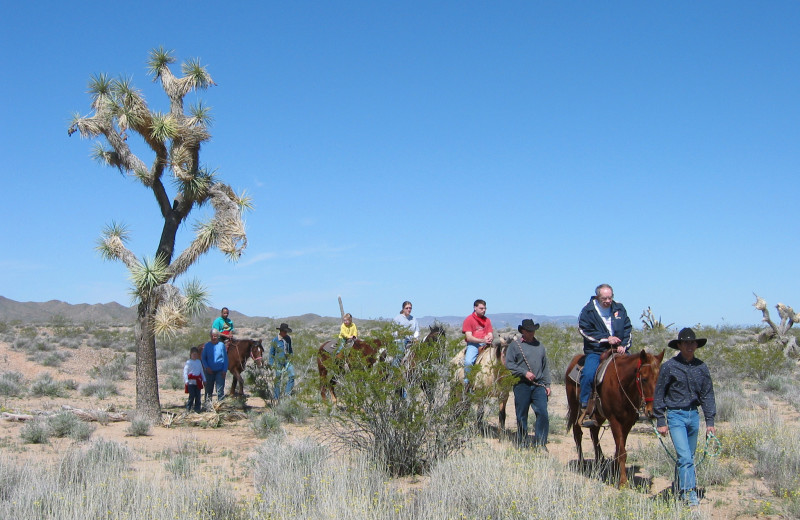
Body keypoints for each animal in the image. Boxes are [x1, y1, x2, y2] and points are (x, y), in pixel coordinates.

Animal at [564, 350, 664, 488]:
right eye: (644, 379)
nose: (652, 412)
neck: (621, 385)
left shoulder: (628, 422)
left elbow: (620, 448)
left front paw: (615, 471)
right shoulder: (614, 420)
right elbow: (621, 451)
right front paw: (623, 482)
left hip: (599, 415)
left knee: (594, 432)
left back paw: (600, 460)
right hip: (575, 409)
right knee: (577, 433)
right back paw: (581, 463)